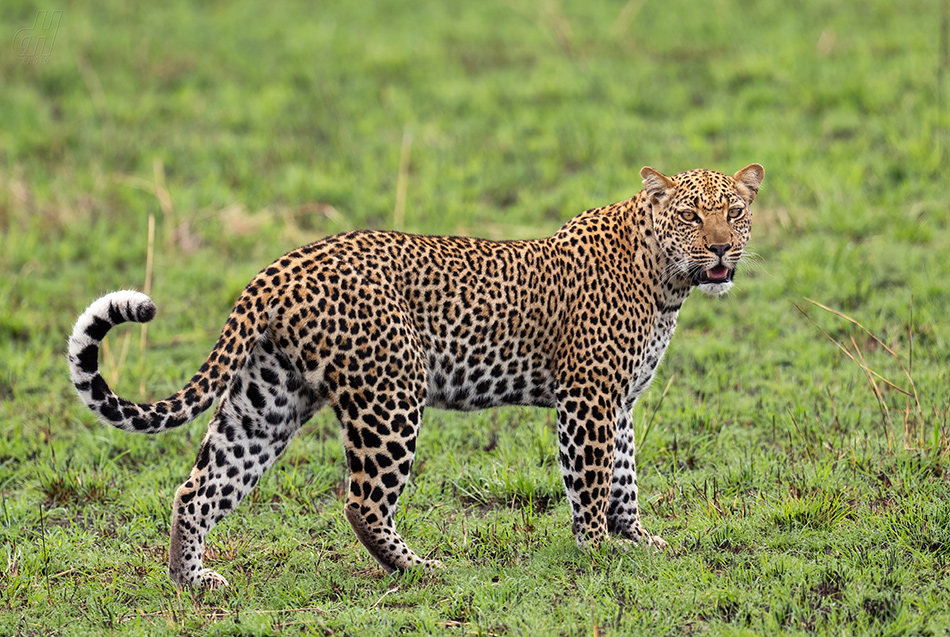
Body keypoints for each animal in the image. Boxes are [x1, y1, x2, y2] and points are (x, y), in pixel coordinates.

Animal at [67, 163, 768, 588]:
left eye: (735, 212)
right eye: (690, 216)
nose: (721, 249)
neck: (666, 280)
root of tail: (282, 264)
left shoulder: (618, 401)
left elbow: (624, 477)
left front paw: (638, 542)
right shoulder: (588, 397)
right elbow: (592, 482)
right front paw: (596, 553)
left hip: (268, 398)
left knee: (200, 485)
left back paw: (191, 580)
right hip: (391, 394)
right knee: (361, 500)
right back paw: (420, 569)